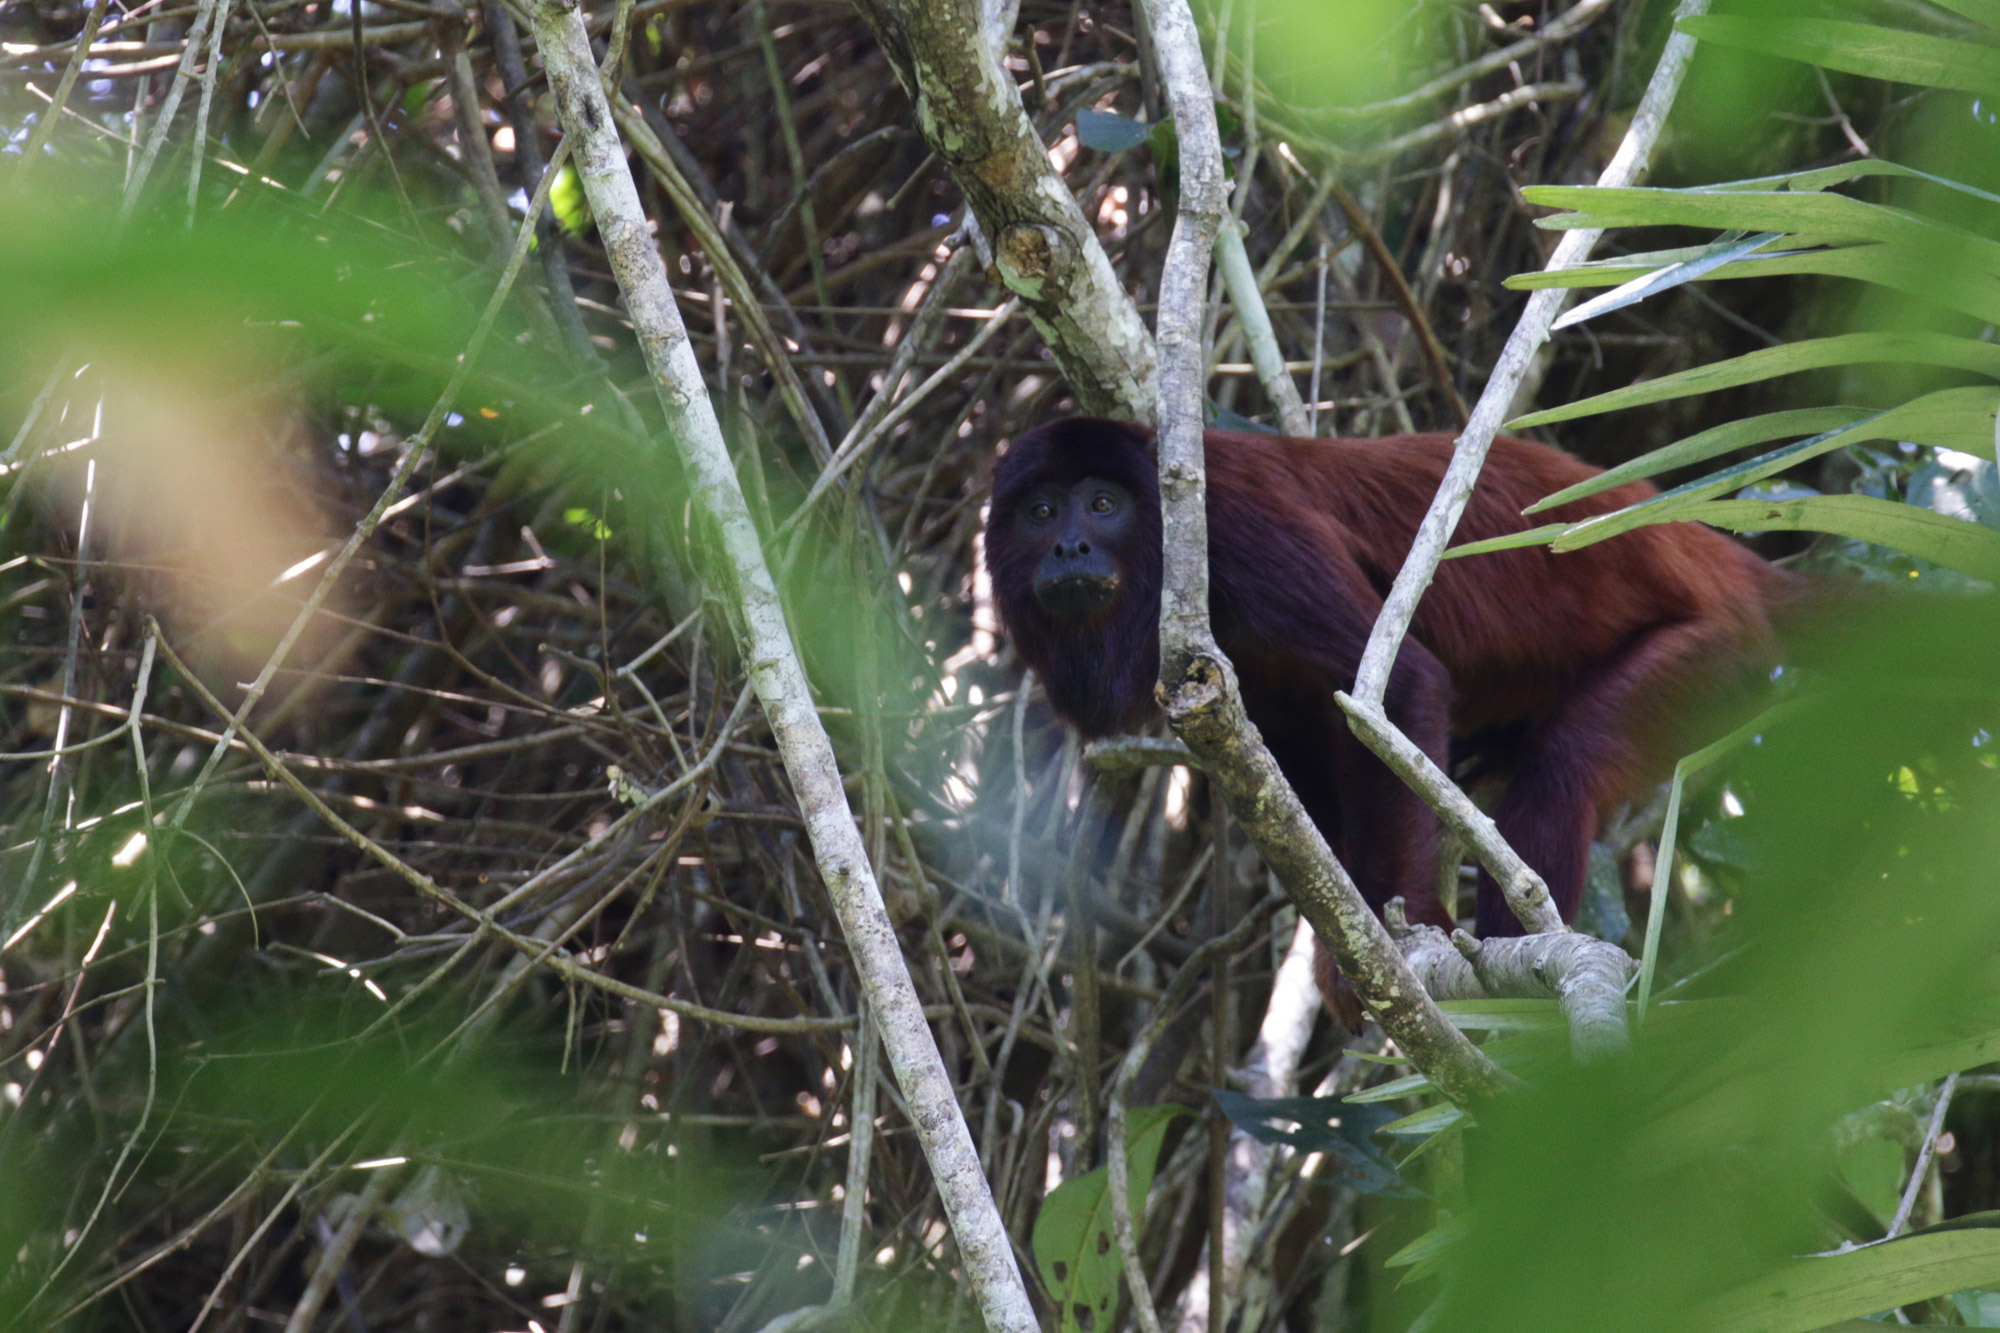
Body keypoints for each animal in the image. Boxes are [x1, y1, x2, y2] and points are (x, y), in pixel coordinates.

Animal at [992, 416, 1792, 964]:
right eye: (1040, 512)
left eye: (1102, 504)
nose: (1069, 546)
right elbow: (1299, 759)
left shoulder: (1245, 530)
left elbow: (1403, 684)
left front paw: (1398, 927)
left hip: (1714, 653)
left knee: (1566, 767)